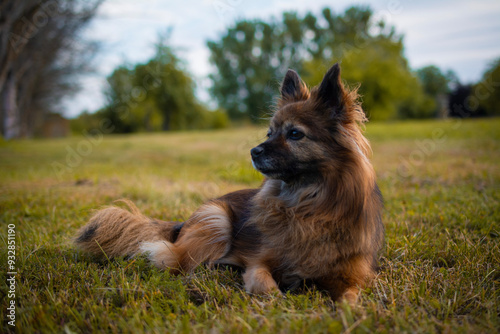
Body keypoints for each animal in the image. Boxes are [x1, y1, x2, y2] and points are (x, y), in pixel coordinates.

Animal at [76, 63, 384, 306]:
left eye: (295, 134)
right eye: (270, 133)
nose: (253, 151)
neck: (307, 204)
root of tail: (181, 225)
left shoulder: (351, 275)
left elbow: (351, 299)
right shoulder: (259, 262)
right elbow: (265, 285)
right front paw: (278, 301)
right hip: (216, 220)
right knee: (173, 260)